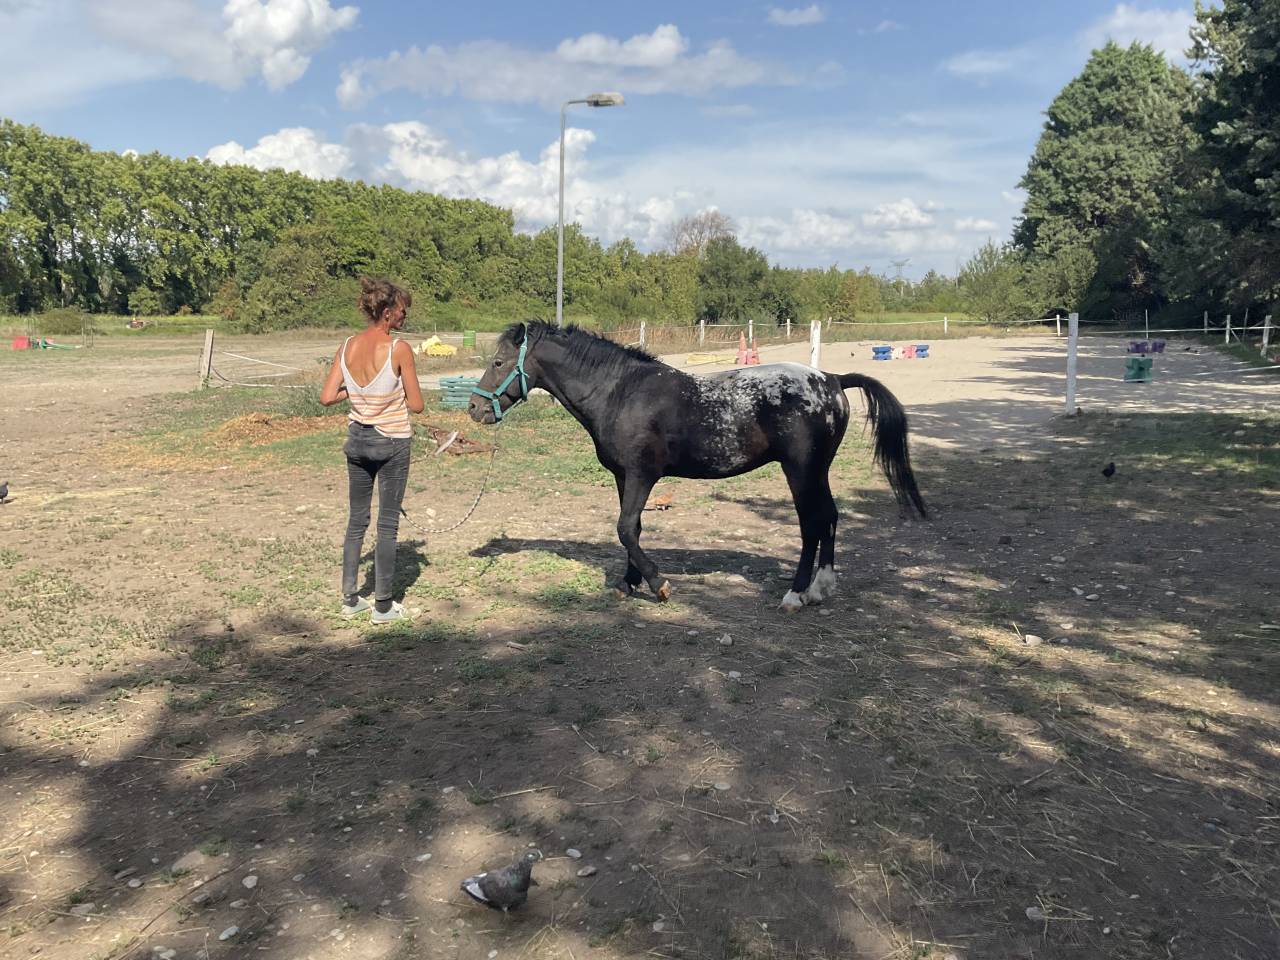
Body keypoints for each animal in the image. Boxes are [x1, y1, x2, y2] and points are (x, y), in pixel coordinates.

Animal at [468, 322, 926, 611]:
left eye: (497, 363)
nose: (474, 408)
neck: (620, 392)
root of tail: (831, 379)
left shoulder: (642, 476)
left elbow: (624, 528)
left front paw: (659, 585)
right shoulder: (623, 477)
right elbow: (633, 529)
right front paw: (628, 584)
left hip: (800, 471)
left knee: (812, 523)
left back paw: (796, 595)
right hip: (818, 472)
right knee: (830, 516)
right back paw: (821, 588)